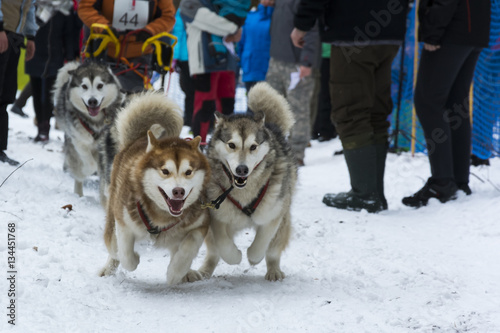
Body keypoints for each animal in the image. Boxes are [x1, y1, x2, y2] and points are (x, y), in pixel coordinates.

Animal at [52, 60, 126, 205]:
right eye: (84, 86)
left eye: (100, 85)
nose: (92, 101)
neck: (95, 122)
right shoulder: (78, 141)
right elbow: (89, 163)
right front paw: (88, 170)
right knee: (79, 173)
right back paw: (79, 193)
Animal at [99, 92, 213, 284]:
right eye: (165, 171)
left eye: (188, 172)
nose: (178, 191)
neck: (162, 217)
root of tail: (137, 139)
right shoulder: (124, 222)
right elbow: (126, 255)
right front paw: (134, 259)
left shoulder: (200, 223)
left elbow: (188, 248)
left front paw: (176, 272)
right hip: (113, 212)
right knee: (113, 247)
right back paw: (108, 268)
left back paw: (187, 273)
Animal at [199, 81, 296, 280]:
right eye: (231, 145)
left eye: (253, 147)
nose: (241, 169)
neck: (244, 192)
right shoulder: (217, 214)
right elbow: (223, 245)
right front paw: (235, 256)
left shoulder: (273, 213)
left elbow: (261, 243)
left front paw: (253, 257)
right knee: (213, 253)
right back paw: (203, 271)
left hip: (283, 219)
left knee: (273, 252)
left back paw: (274, 270)